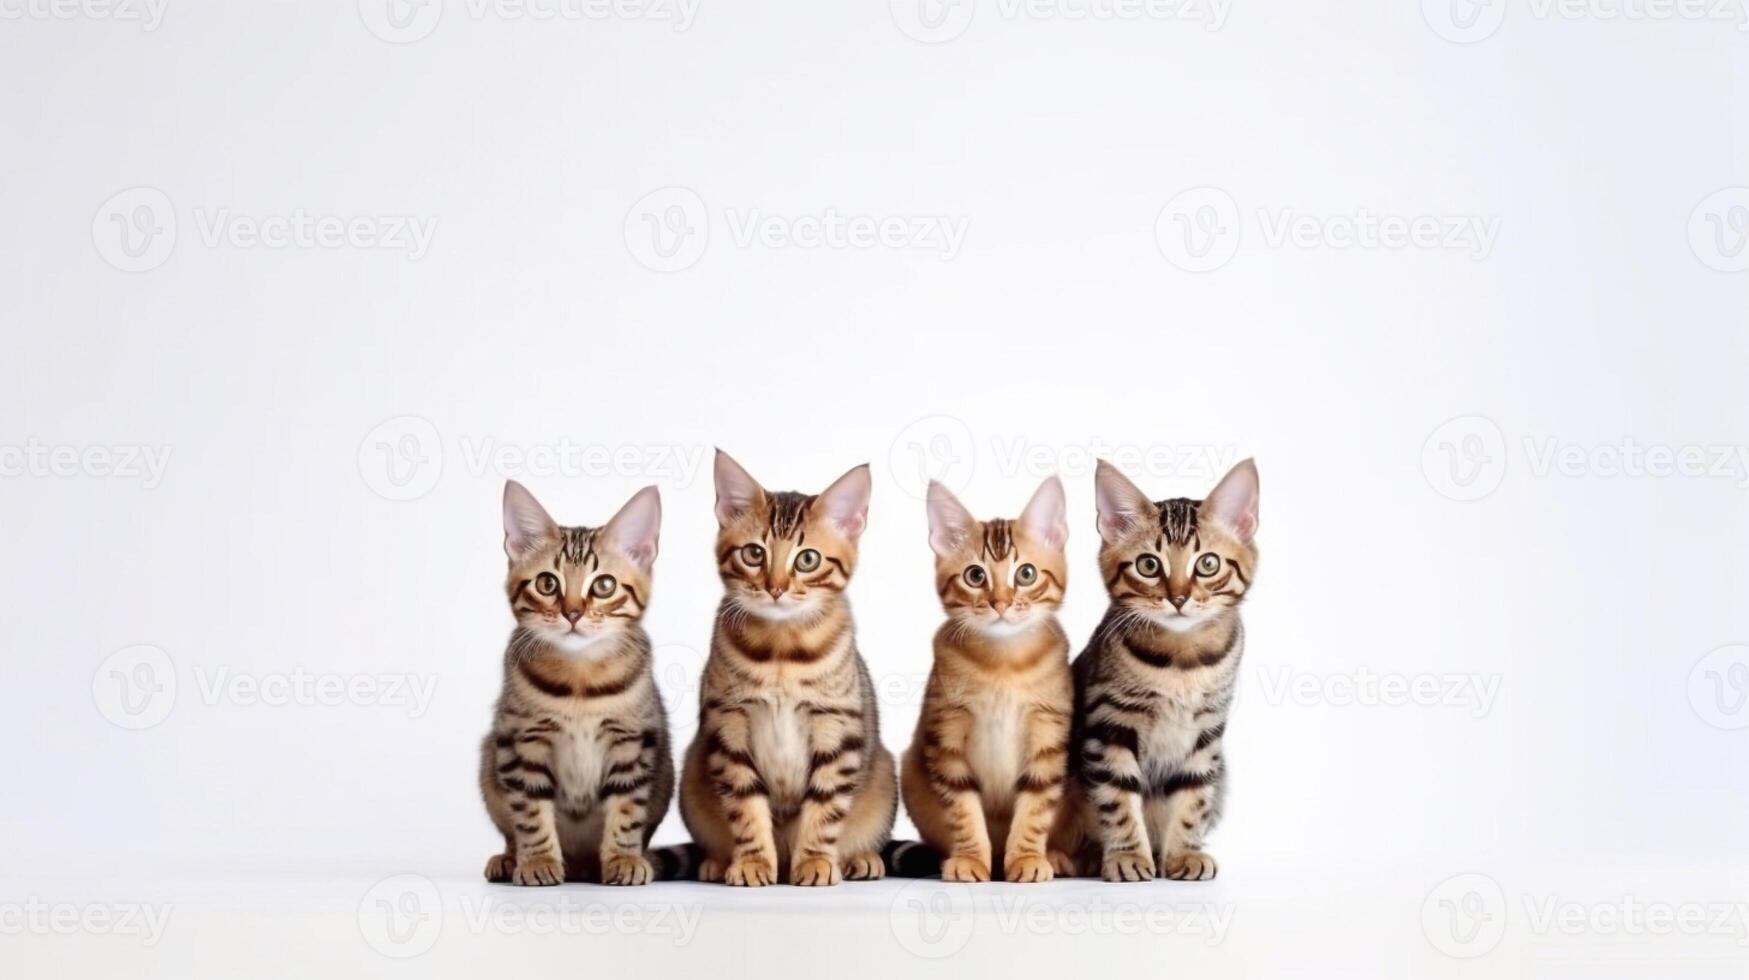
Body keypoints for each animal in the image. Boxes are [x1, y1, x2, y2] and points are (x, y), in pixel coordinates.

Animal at [482, 483, 671, 889]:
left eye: (604, 585)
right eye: (547, 583)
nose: (572, 612)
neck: (579, 682)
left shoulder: (632, 742)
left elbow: (627, 810)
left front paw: (623, 859)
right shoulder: (522, 741)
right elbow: (530, 813)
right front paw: (538, 861)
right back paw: (508, 859)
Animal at [678, 451, 895, 889]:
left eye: (807, 559)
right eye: (754, 553)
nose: (775, 587)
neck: (781, 653)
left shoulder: (836, 727)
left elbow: (825, 807)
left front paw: (814, 861)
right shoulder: (729, 726)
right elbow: (745, 805)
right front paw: (751, 862)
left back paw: (861, 858)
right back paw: (718, 862)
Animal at [902, 479, 1077, 885]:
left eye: (1025, 574)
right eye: (975, 576)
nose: (1000, 602)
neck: (1003, 665)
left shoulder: (1048, 731)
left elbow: (1036, 805)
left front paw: (1027, 857)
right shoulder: (947, 732)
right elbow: (962, 807)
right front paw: (970, 858)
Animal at [1049, 458, 1259, 882]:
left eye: (1208, 563)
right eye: (1149, 565)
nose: (1178, 597)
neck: (1182, 661)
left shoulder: (1206, 731)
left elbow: (1194, 799)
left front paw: (1182, 854)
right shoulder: (1109, 724)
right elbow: (1117, 799)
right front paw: (1129, 855)